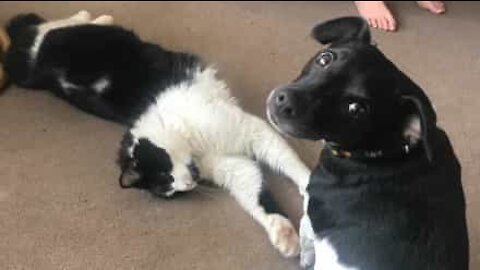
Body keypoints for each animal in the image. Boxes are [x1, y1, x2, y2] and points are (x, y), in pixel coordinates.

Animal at [5, 11, 314, 258]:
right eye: (169, 190)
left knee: (54, 20)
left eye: (165, 174)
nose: (187, 185)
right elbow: (258, 198)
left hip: (65, 37)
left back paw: (97, 16)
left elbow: (289, 162)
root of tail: (24, 50)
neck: (192, 144)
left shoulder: (249, 129)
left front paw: (310, 186)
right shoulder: (235, 166)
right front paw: (284, 234)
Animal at [266, 17, 468, 270]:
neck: (382, 152)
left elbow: (305, 234)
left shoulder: (311, 214)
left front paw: (304, 257)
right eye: (325, 58)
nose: (284, 102)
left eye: (356, 109)